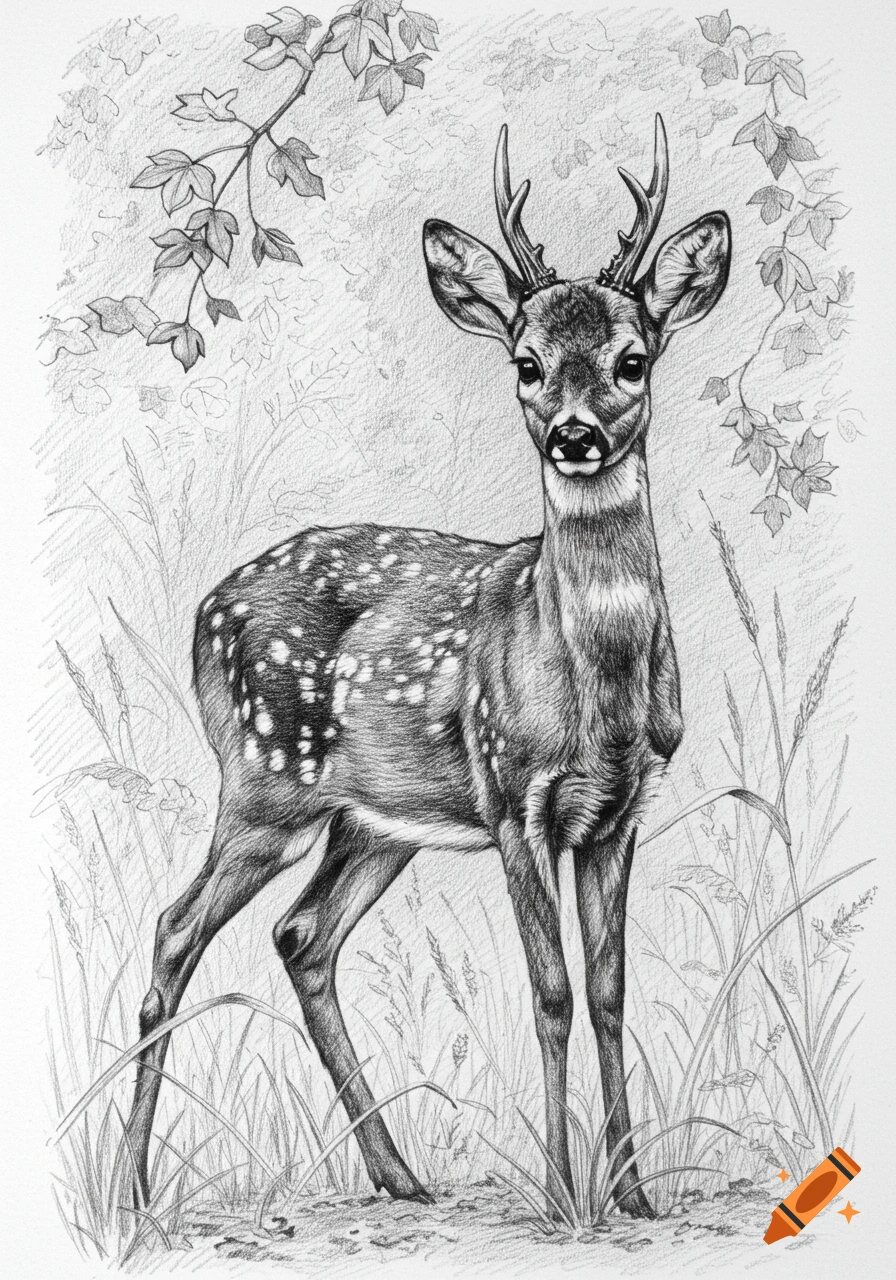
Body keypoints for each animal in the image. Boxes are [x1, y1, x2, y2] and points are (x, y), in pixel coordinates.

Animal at [125, 115, 731, 1220]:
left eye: (632, 359)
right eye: (526, 363)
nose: (574, 435)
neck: (596, 692)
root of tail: (202, 611)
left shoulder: (621, 810)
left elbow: (610, 989)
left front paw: (632, 1194)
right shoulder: (513, 795)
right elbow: (551, 990)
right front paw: (559, 1194)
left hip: (372, 823)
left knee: (300, 935)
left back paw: (401, 1174)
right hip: (265, 782)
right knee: (176, 927)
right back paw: (131, 1186)